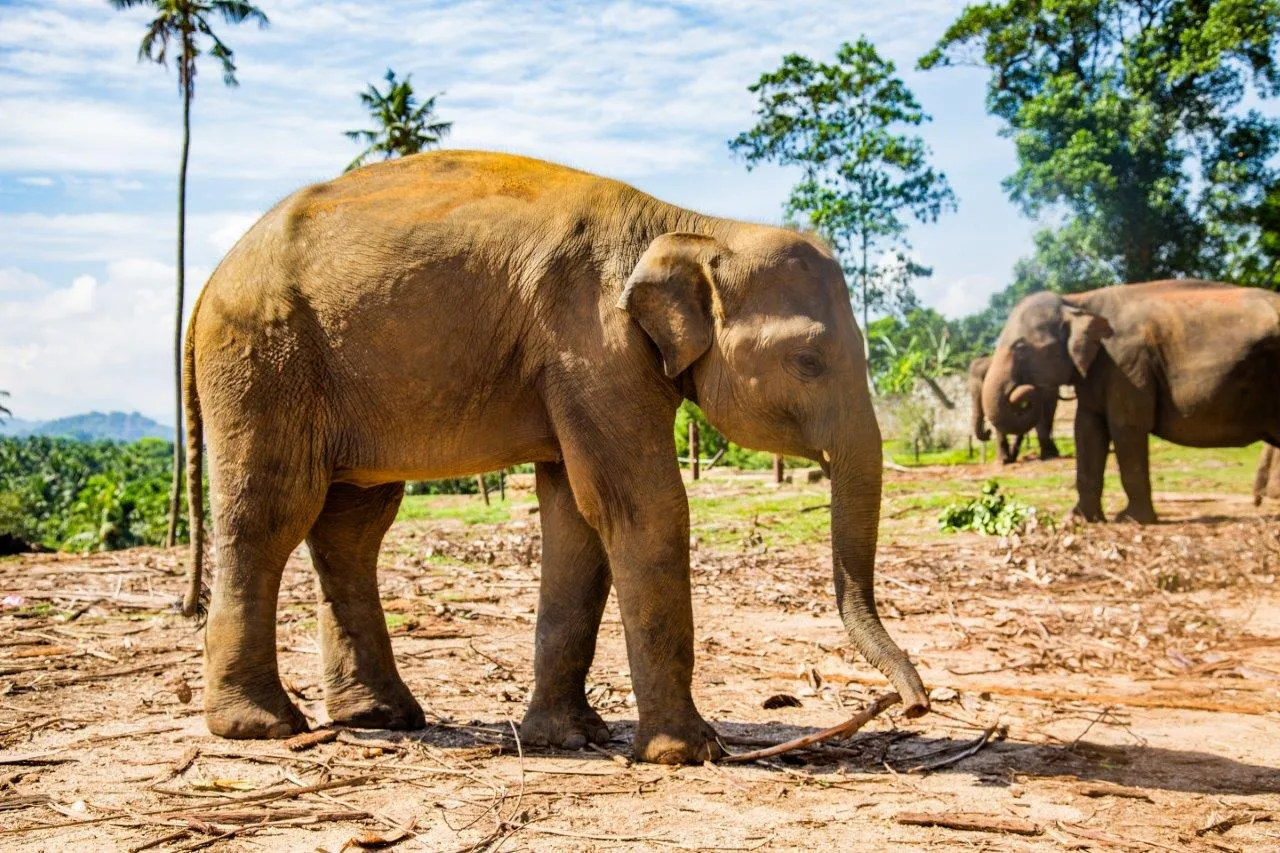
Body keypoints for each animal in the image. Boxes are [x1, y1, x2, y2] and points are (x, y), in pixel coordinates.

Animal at [183, 147, 931, 763]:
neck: (689, 223)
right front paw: (689, 752)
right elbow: (641, 504)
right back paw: (262, 727)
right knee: (271, 513)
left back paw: (381, 717)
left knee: (353, 525)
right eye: (808, 361)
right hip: (264, 361)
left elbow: (576, 513)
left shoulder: (578, 363)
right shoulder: (591, 343)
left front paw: (569, 737)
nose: (916, 704)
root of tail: (207, 285)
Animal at [977, 280, 1280, 517]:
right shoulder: (1101, 369)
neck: (1077, 300)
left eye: (1020, 347)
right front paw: (1077, 519)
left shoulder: (1128, 364)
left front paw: (1131, 519)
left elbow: (1126, 427)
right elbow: (1087, 428)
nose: (1023, 392)